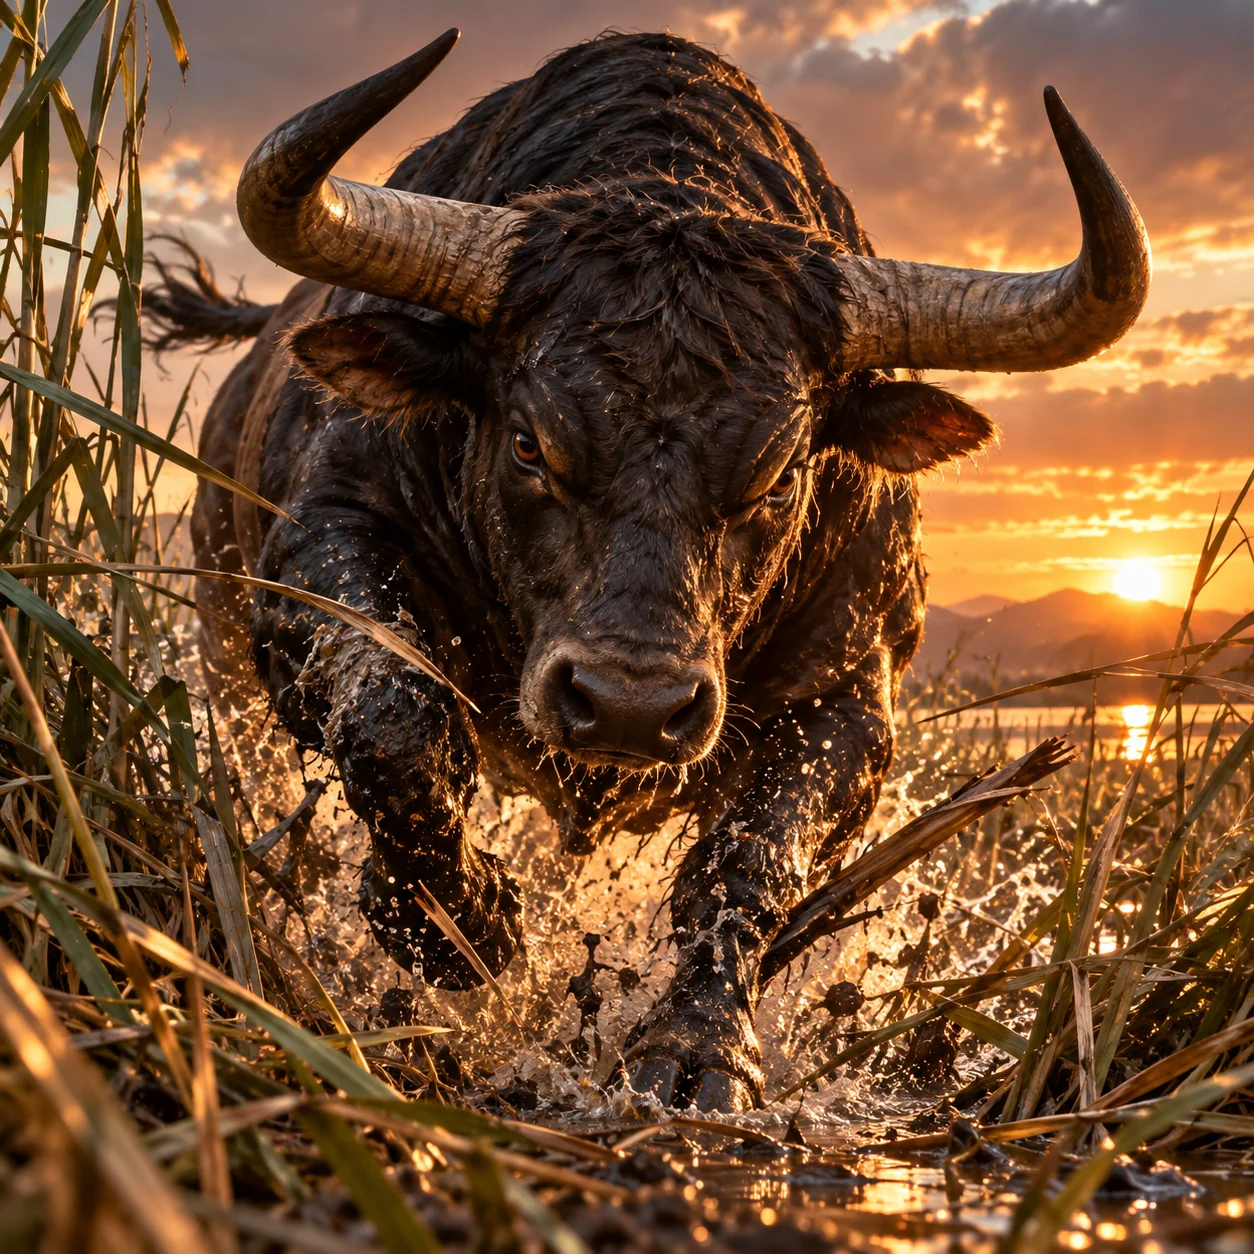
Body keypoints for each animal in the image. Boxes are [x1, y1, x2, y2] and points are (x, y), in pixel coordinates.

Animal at [156, 29, 1149, 1111]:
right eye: (531, 443)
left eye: (779, 471)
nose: (628, 706)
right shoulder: (321, 547)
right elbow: (395, 721)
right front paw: (460, 923)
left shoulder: (850, 692)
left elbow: (747, 859)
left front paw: (701, 1048)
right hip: (223, 652)